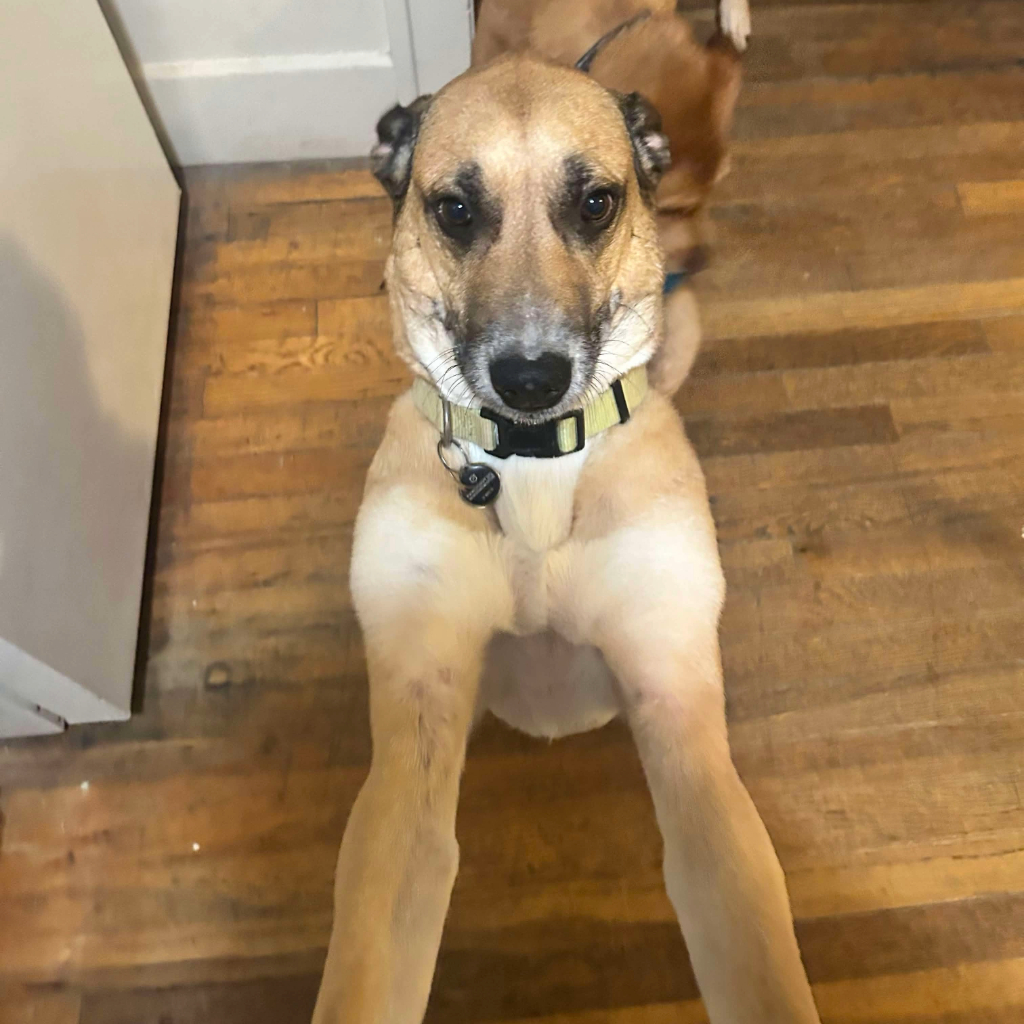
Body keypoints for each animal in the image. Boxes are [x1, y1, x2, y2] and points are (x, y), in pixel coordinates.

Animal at [311, 56, 820, 1024]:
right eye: (455, 208)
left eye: (595, 203)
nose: (530, 378)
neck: (535, 469)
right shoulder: (411, 747)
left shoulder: (680, 711)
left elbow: (750, 938)